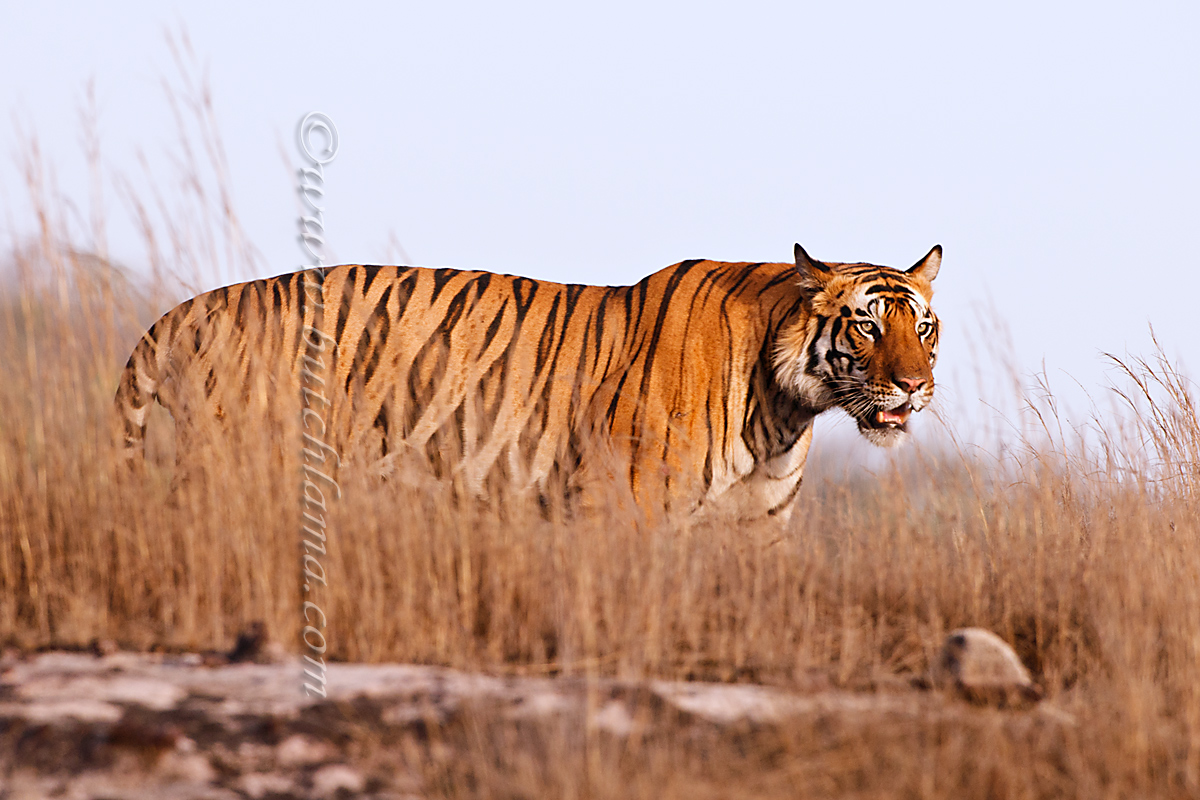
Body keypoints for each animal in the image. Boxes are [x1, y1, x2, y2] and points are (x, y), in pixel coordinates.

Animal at [113, 243, 941, 520]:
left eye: (924, 329)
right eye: (868, 327)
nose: (914, 385)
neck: (785, 413)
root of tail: (186, 309)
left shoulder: (755, 531)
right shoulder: (624, 507)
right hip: (232, 468)